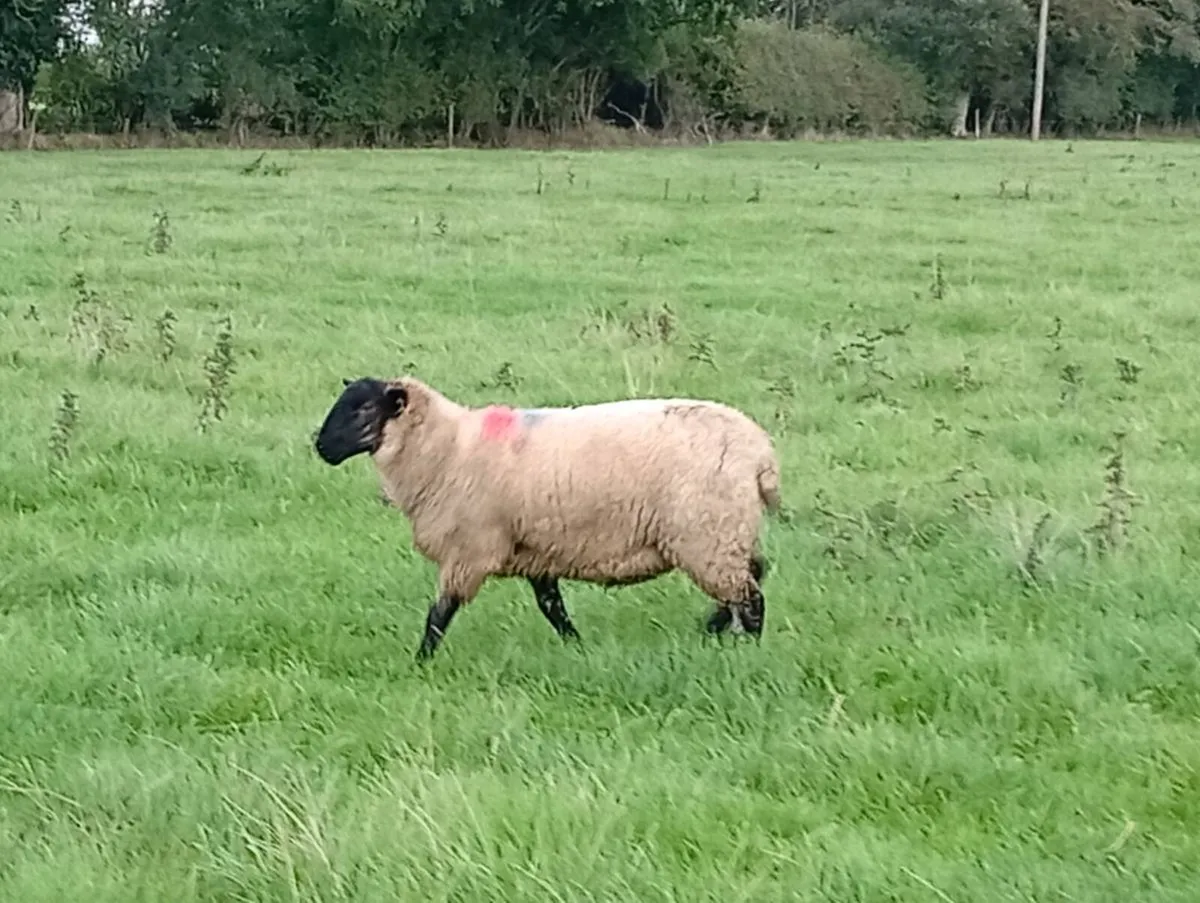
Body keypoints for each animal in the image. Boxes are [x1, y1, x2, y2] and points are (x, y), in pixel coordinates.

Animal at [312, 375, 783, 660]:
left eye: (363, 411)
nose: (320, 446)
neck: (448, 448)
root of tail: (761, 454)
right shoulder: (536, 549)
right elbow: (551, 606)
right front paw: (577, 646)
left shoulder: (469, 550)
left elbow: (440, 612)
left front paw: (421, 660)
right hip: (727, 533)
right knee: (754, 574)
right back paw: (713, 627)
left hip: (709, 533)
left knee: (752, 597)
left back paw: (750, 650)